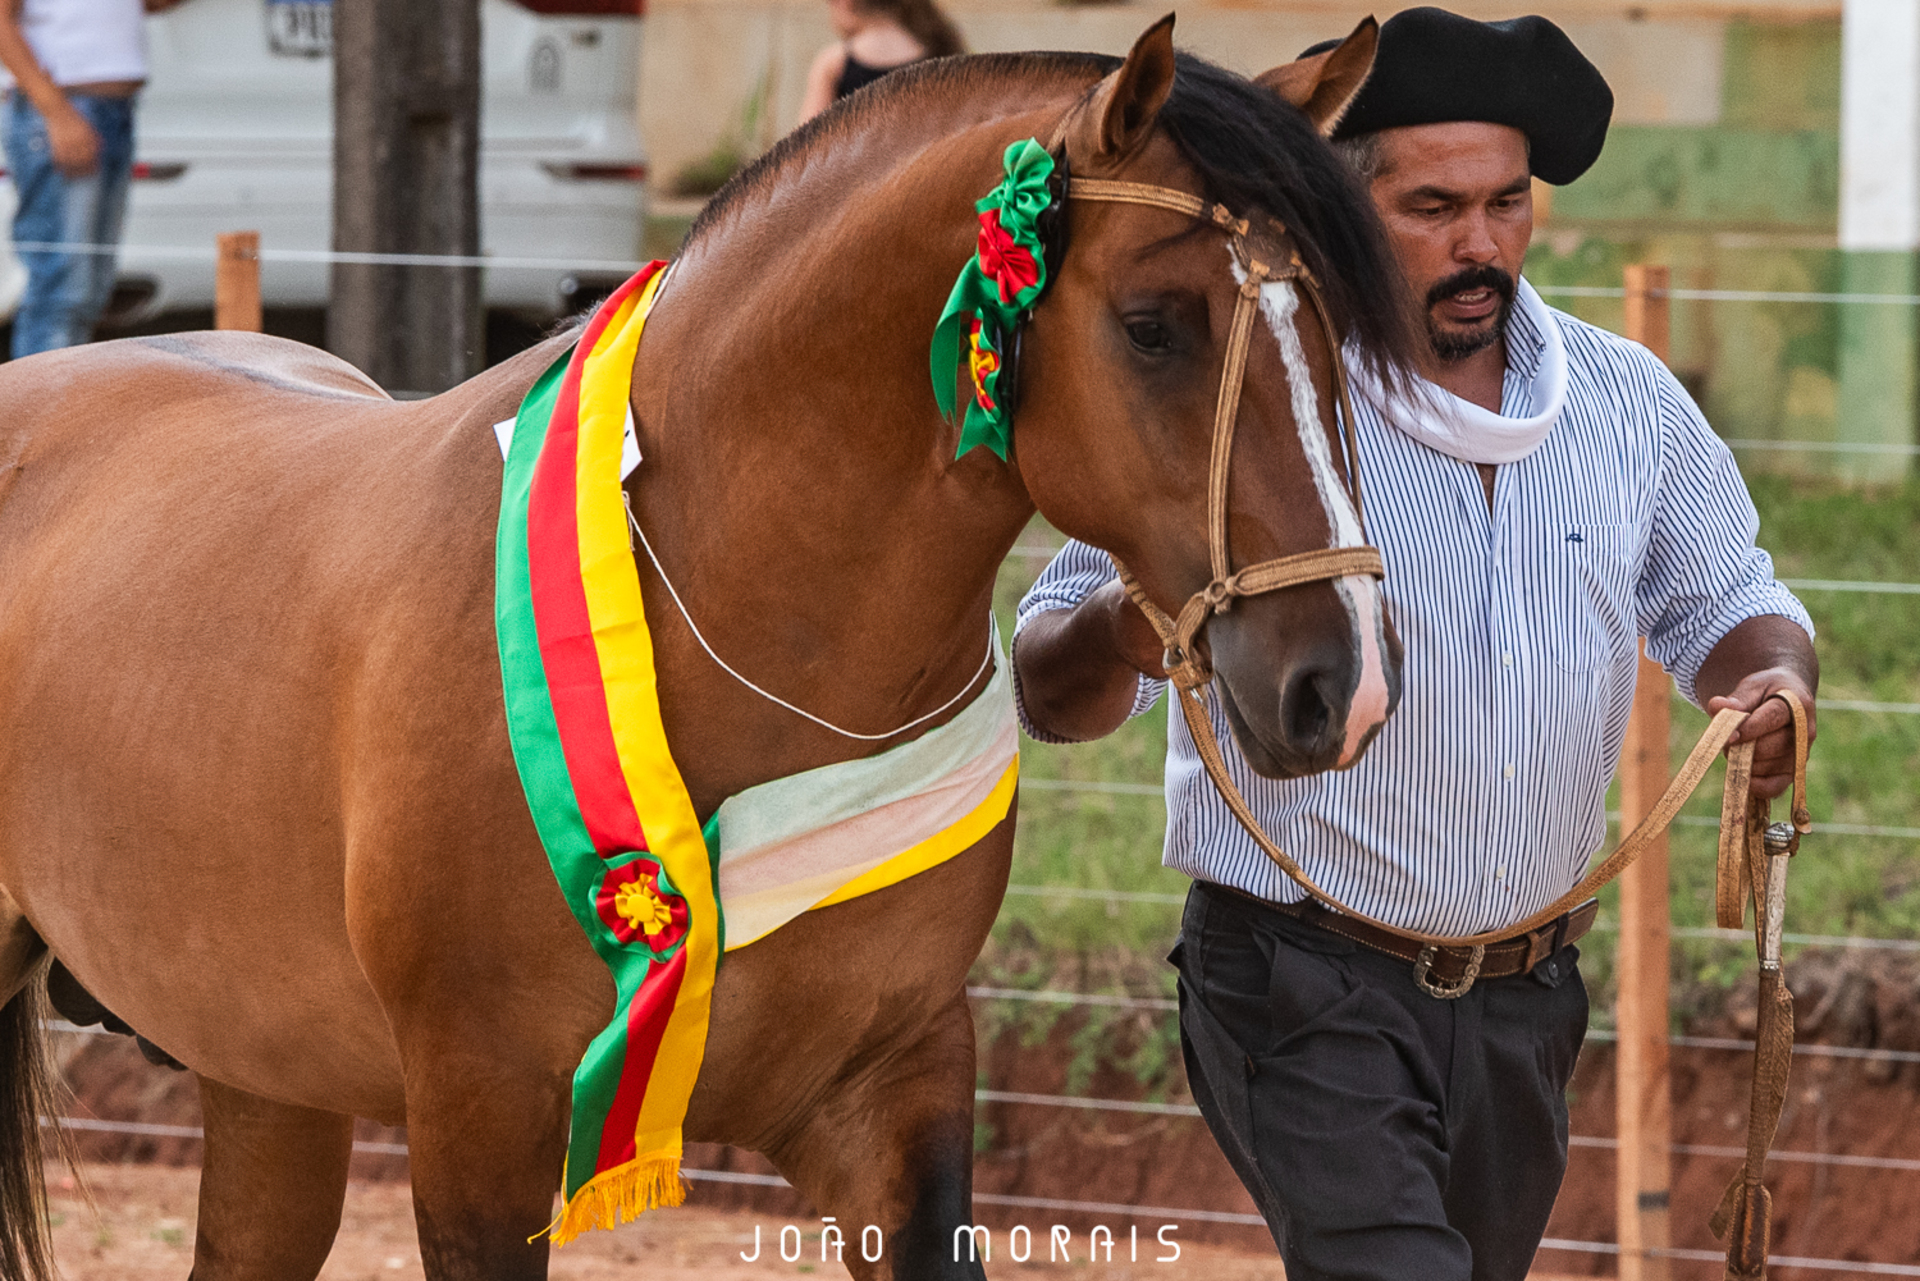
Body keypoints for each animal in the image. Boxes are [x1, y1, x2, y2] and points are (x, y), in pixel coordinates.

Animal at [0, 18, 1414, 1280]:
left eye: (1336, 332)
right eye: (1152, 324)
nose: (1337, 684)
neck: (729, 637)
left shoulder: (885, 1095)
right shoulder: (477, 1125)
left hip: (264, 1080)